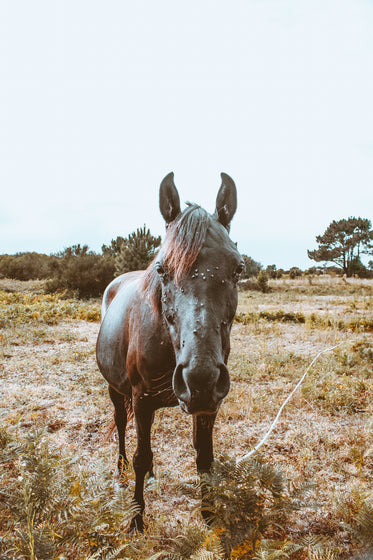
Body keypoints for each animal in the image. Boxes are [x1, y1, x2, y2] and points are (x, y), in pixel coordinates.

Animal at [94, 173, 243, 532]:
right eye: (162, 269)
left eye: (238, 269)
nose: (200, 379)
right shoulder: (141, 399)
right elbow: (140, 455)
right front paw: (136, 520)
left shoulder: (209, 406)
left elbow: (204, 456)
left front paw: (209, 514)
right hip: (117, 390)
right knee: (122, 427)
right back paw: (121, 475)